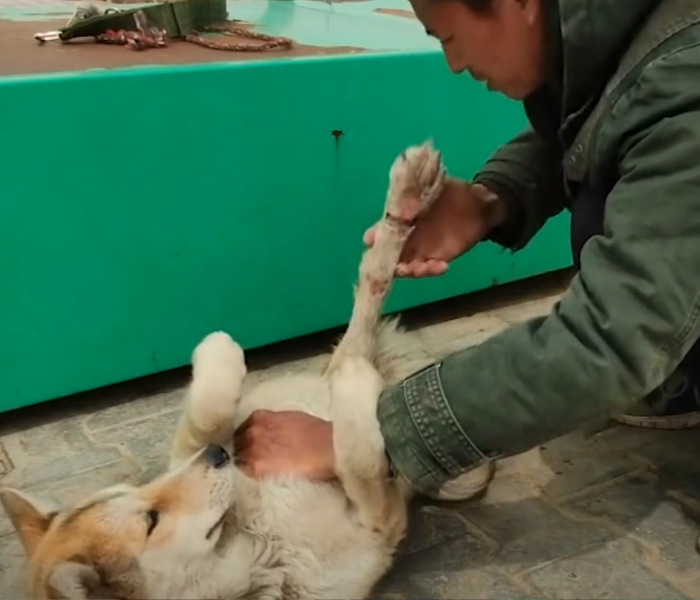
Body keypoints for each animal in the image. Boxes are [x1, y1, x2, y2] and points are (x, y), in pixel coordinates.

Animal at [1, 142, 516, 600]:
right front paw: (355, 390)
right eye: (150, 523)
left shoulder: (196, 448)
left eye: (138, 491)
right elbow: (362, 462)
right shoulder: (380, 520)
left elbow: (205, 415)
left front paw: (218, 354)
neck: (251, 537)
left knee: (372, 281)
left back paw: (407, 199)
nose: (218, 457)